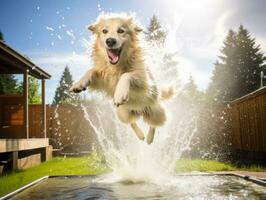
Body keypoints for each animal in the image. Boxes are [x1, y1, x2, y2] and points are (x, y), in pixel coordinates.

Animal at [70, 13, 175, 144]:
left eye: (121, 31)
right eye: (104, 31)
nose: (110, 41)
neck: (117, 67)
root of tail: (140, 112)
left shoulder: (145, 81)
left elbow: (127, 75)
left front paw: (120, 93)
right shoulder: (105, 80)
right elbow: (92, 70)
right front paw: (79, 83)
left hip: (156, 110)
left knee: (154, 124)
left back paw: (149, 138)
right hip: (123, 113)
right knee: (132, 123)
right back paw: (141, 135)